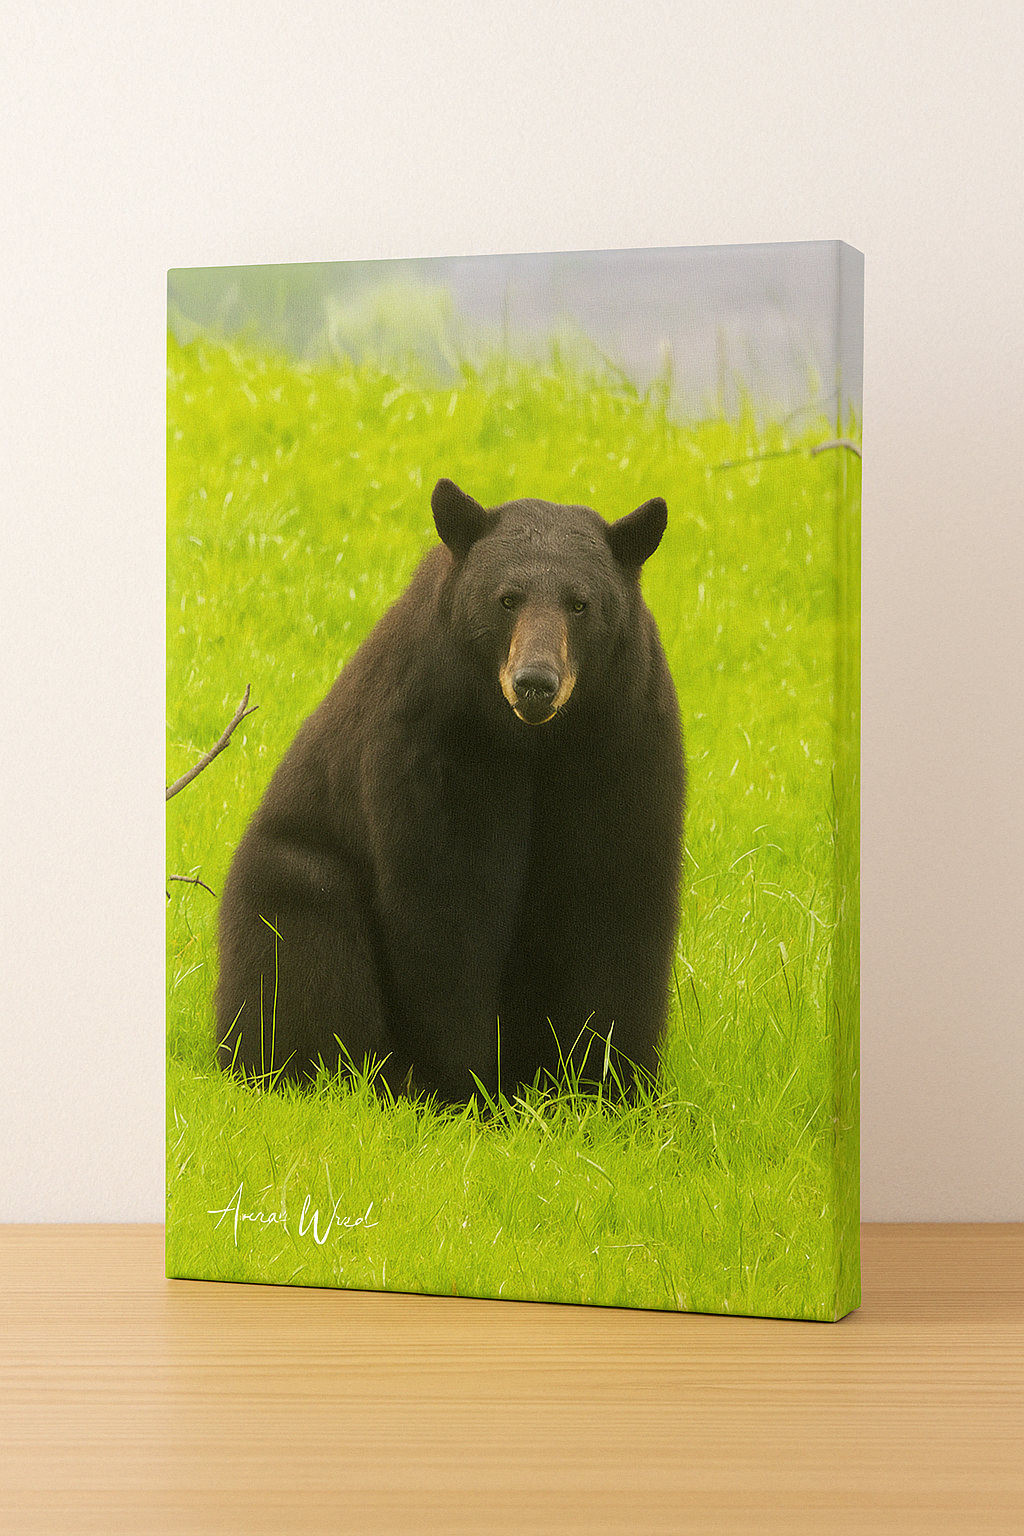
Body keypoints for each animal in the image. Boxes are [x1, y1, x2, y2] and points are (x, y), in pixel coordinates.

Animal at [216, 478, 684, 1104]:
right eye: (507, 599)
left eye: (580, 604)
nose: (536, 683)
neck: (531, 740)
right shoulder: (437, 741)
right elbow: (448, 906)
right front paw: (465, 1089)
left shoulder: (620, 740)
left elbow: (616, 899)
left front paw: (611, 1085)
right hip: (291, 878)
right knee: (299, 941)